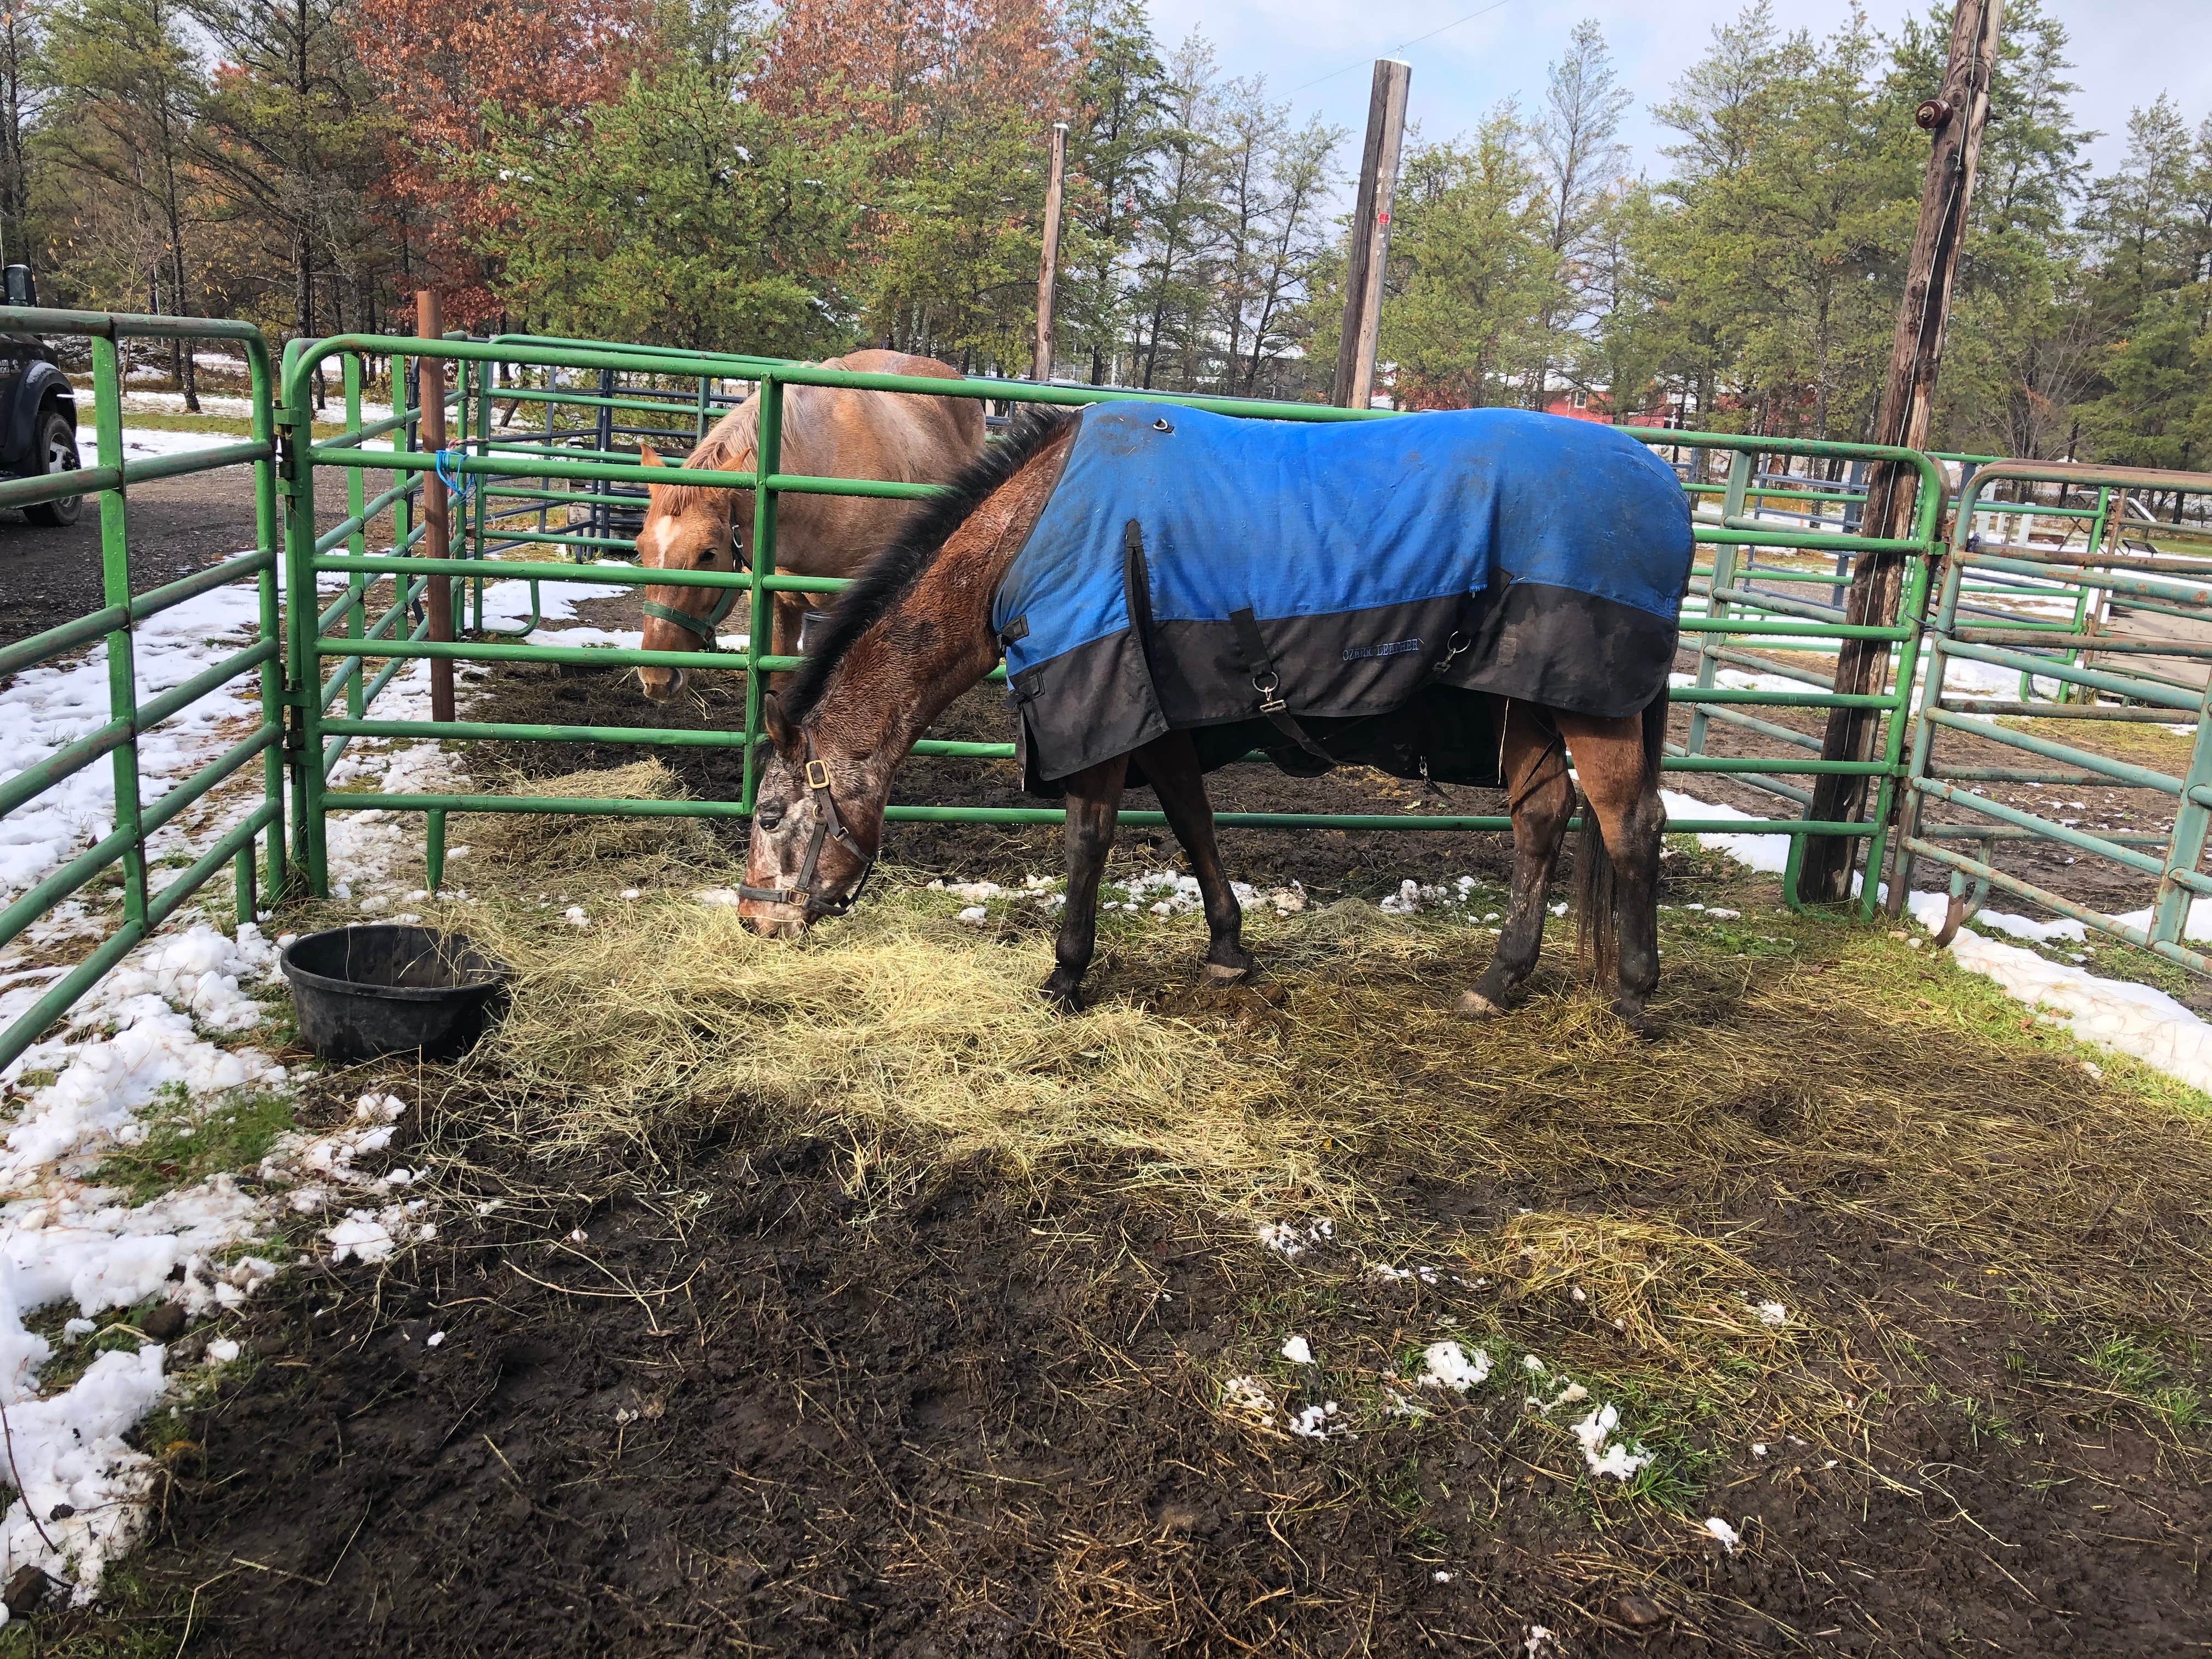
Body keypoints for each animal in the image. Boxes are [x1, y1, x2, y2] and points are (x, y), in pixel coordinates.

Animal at [734, 401, 1694, 1028]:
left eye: (772, 813)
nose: (751, 919)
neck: (1036, 529)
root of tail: (1663, 479)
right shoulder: (1162, 722)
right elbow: (1195, 825)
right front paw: (1229, 949)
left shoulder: (1100, 710)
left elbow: (1088, 842)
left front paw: (1066, 977)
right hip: (1529, 702)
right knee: (1543, 819)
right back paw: (1500, 981)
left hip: (1591, 712)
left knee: (1631, 825)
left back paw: (1636, 993)